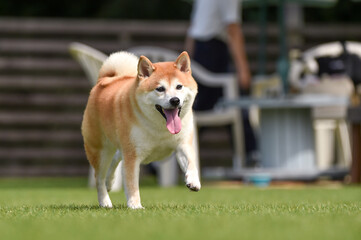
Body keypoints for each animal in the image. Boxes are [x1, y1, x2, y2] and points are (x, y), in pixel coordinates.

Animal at [81, 51, 200, 209]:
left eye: (179, 86)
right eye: (160, 89)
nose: (175, 100)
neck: (160, 127)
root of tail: (104, 80)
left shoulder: (183, 144)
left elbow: (191, 163)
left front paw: (193, 181)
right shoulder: (132, 155)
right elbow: (132, 184)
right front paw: (135, 205)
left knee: (116, 159)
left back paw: (110, 181)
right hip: (101, 151)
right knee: (99, 178)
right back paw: (105, 201)